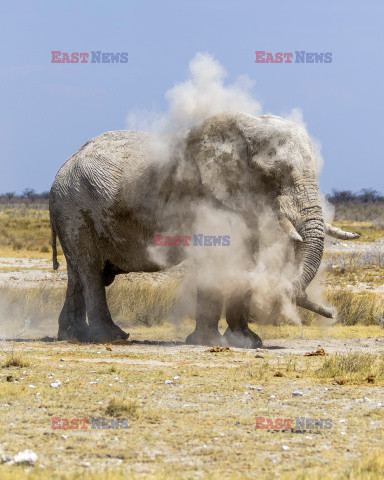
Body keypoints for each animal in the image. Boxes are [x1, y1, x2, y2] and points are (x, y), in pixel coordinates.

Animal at [49, 111, 358, 346]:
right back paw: (110, 337)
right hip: (74, 209)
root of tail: (62, 167)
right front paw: (207, 342)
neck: (248, 127)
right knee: (90, 270)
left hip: (70, 211)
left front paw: (247, 341)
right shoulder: (202, 197)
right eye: (273, 174)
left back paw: (71, 335)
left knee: (77, 274)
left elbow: (243, 258)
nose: (332, 314)